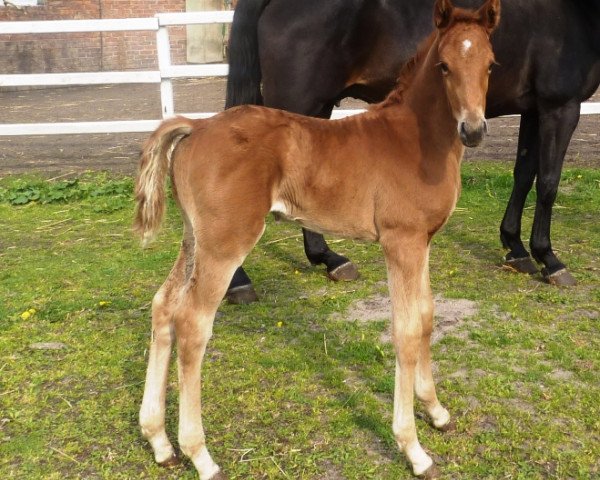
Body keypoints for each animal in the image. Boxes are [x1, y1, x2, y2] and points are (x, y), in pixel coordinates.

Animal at [134, 0, 500, 476]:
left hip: (194, 238)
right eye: (444, 65)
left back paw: (159, 441)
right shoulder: (401, 242)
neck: (416, 140)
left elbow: (426, 317)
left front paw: (436, 412)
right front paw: (413, 449)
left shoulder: (423, 242)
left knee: (163, 306)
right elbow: (404, 330)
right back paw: (200, 455)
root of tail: (196, 127)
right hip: (225, 243)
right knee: (193, 323)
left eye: (490, 64)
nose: (473, 130)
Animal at [224, 0, 600, 302]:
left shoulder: (535, 109)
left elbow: (524, 175)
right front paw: (549, 259)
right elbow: (548, 183)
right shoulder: (560, 107)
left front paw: (516, 249)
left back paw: (330, 259)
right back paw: (240, 282)